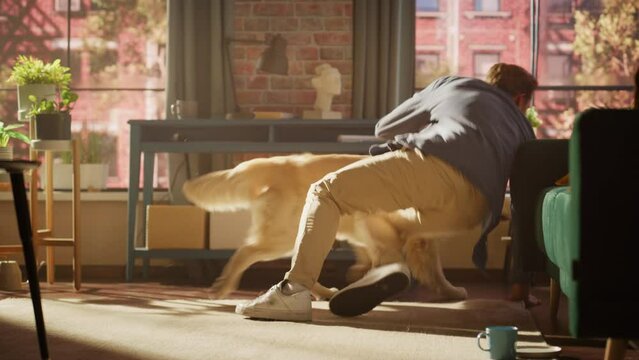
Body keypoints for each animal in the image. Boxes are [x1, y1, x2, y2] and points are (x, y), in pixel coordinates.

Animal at [181, 153, 470, 300]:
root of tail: (279, 163)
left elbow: (431, 267)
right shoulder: (376, 219)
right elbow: (391, 250)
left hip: (303, 233)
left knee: (297, 268)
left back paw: (325, 292)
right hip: (285, 236)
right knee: (247, 252)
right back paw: (222, 287)